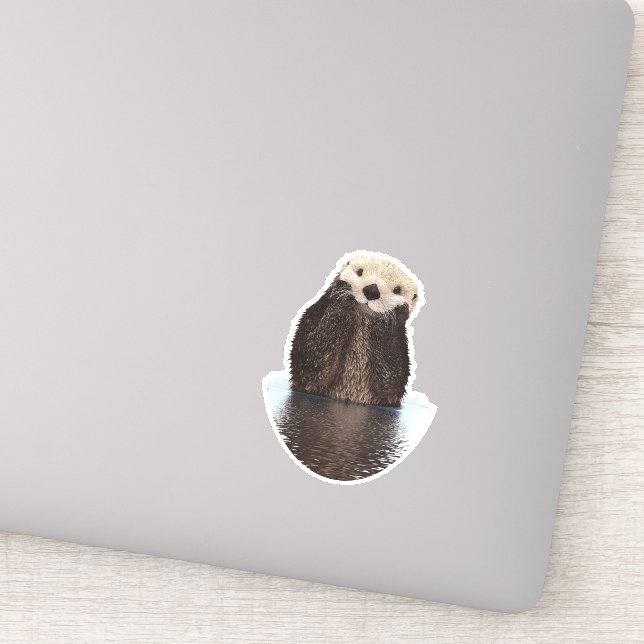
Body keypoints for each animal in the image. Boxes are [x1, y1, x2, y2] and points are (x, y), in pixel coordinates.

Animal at [289, 252, 423, 407]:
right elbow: (310, 363)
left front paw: (393, 315)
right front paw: (343, 294)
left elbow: (391, 379)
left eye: (397, 290)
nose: (372, 290)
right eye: (359, 271)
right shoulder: (311, 317)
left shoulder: (400, 351)